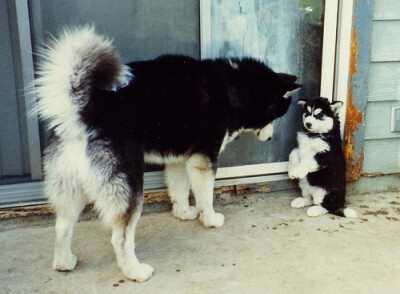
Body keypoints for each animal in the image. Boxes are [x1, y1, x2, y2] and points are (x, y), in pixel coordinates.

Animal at [36, 28, 300, 282]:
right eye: (276, 115)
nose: (271, 139)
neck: (231, 86)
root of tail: (84, 111)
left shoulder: (179, 160)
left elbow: (180, 189)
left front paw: (183, 213)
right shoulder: (203, 160)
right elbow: (206, 196)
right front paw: (210, 219)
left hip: (71, 189)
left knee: (62, 226)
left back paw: (64, 262)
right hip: (129, 185)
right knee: (120, 238)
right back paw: (135, 271)